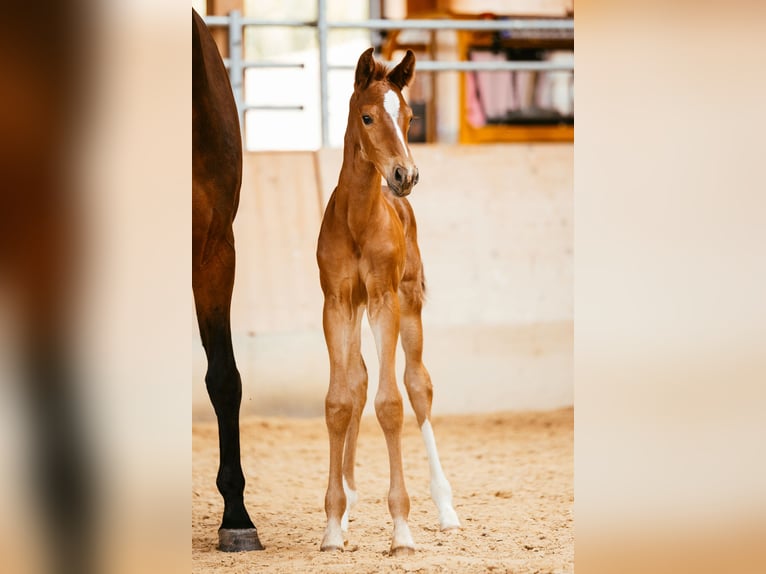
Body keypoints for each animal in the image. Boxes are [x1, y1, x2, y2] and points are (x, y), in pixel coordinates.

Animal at [318, 49, 462, 560]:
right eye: (367, 117)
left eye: (410, 118)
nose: (406, 175)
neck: (359, 220)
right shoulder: (337, 303)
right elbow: (341, 400)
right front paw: (333, 524)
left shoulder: (384, 300)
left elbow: (391, 403)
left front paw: (401, 528)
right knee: (358, 380)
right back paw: (350, 503)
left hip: (410, 303)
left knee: (418, 385)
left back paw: (445, 509)